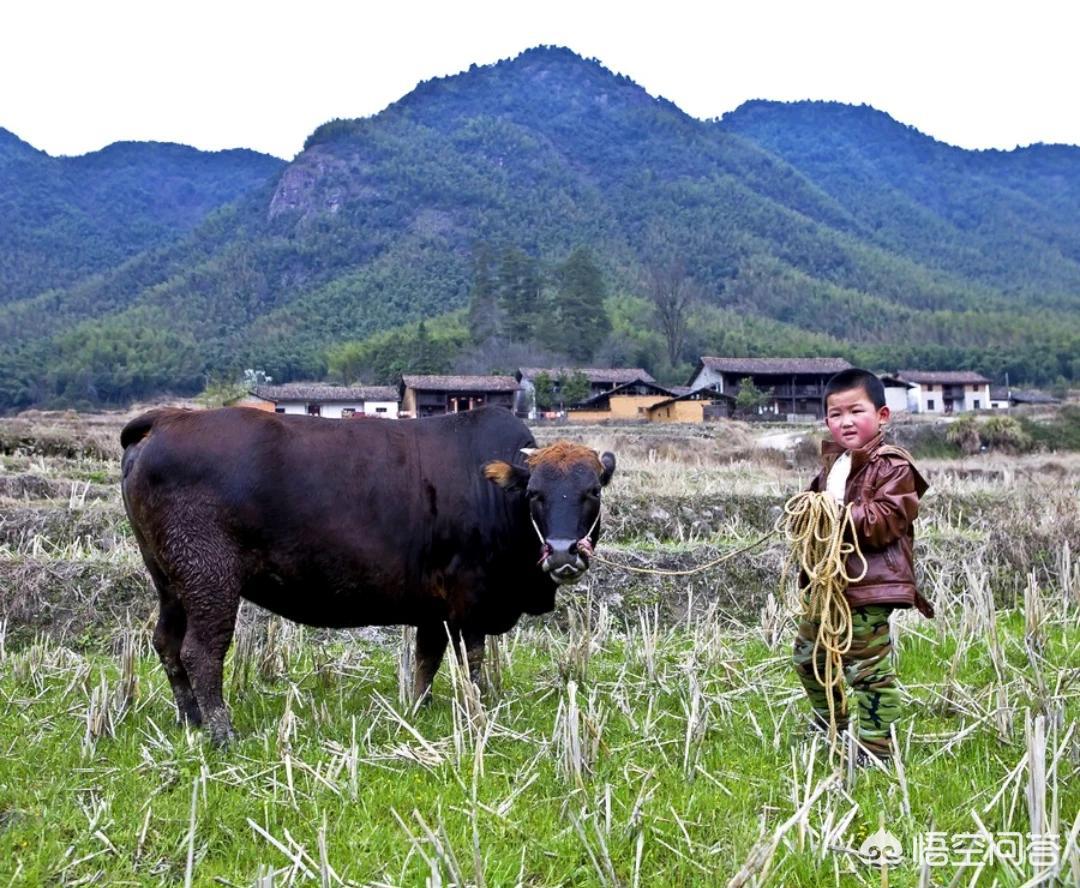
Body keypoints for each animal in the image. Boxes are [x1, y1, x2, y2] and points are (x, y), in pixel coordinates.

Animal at [121, 406, 613, 747]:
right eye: (535, 493)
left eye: (592, 491)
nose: (564, 552)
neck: (494, 495)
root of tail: (166, 418)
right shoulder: (469, 603)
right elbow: (471, 661)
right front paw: (479, 708)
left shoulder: (432, 609)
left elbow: (426, 660)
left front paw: (418, 706)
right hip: (211, 581)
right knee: (201, 652)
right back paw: (221, 731)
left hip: (171, 583)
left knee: (166, 643)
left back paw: (191, 719)